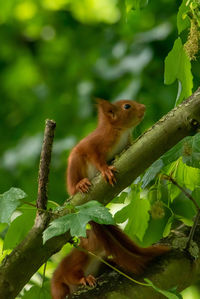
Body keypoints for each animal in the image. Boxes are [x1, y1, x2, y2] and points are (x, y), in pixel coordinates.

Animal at [50, 100, 170, 299]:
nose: (143, 107)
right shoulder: (96, 144)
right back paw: (80, 184)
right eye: (127, 106)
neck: (120, 131)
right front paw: (105, 170)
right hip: (75, 165)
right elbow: (96, 158)